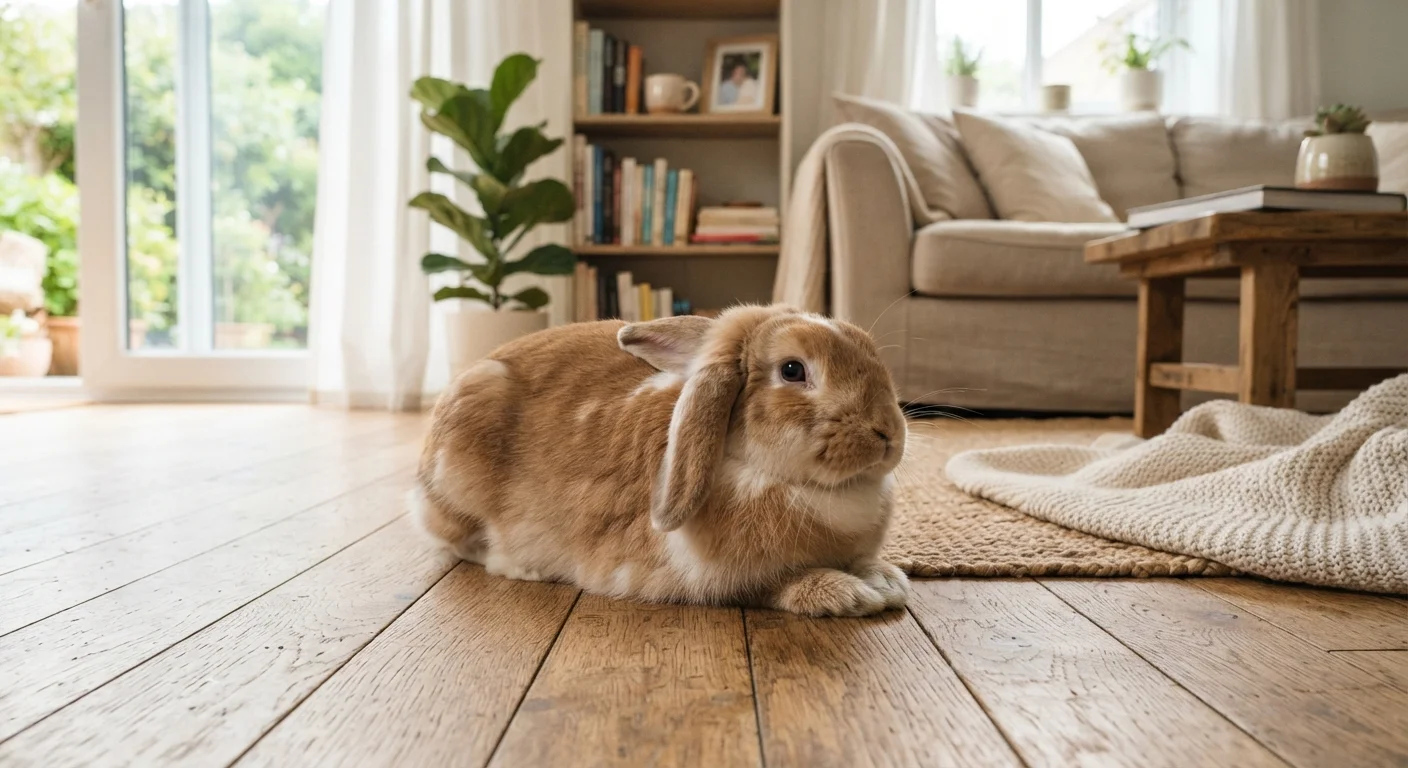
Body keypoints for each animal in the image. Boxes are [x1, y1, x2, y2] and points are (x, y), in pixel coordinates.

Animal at [410, 304, 910, 616]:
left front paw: (888, 580)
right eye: (792, 370)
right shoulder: (723, 580)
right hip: (459, 470)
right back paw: (522, 565)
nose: (889, 434)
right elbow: (773, 585)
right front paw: (847, 594)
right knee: (464, 545)